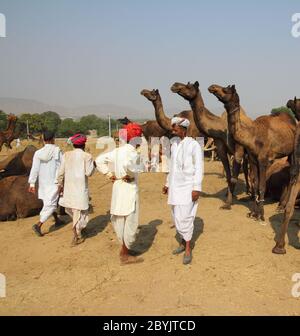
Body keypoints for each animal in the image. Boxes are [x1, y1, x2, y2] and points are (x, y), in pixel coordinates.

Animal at [170, 81, 252, 209]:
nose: (175, 85)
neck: (222, 128)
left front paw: (228, 203)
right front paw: (228, 196)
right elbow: (229, 176)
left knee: (247, 170)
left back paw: (249, 191)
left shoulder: (238, 150)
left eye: (189, 86)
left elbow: (234, 177)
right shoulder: (221, 147)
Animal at [209, 83, 298, 223]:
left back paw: (282, 207)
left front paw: (261, 215)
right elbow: (256, 185)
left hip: (293, 150)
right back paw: (281, 205)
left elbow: (262, 186)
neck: (252, 136)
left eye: (226, 89)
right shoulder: (253, 160)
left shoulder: (263, 160)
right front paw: (253, 213)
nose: (212, 87)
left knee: (293, 174)